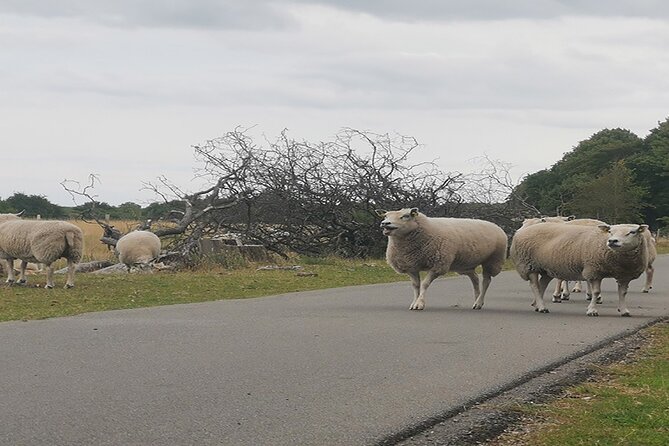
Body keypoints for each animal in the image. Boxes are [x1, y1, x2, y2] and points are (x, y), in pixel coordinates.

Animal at [376, 208, 506, 310]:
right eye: (386, 215)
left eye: (405, 216)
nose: (384, 223)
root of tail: (495, 225)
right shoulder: (411, 266)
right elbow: (415, 285)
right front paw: (414, 302)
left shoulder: (438, 265)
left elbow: (424, 284)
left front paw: (419, 303)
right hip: (465, 264)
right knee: (475, 279)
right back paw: (477, 300)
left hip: (492, 260)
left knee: (486, 281)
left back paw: (479, 302)